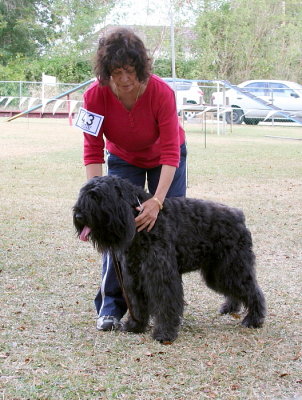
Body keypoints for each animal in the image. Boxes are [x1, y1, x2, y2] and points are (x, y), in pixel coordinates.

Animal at [73, 177, 266, 342]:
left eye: (98, 197)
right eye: (83, 195)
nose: (79, 216)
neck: (138, 220)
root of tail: (239, 216)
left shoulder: (160, 275)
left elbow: (165, 302)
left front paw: (164, 333)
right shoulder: (134, 275)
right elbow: (137, 303)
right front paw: (135, 325)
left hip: (232, 267)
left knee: (252, 290)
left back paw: (254, 319)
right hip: (218, 272)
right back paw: (230, 307)